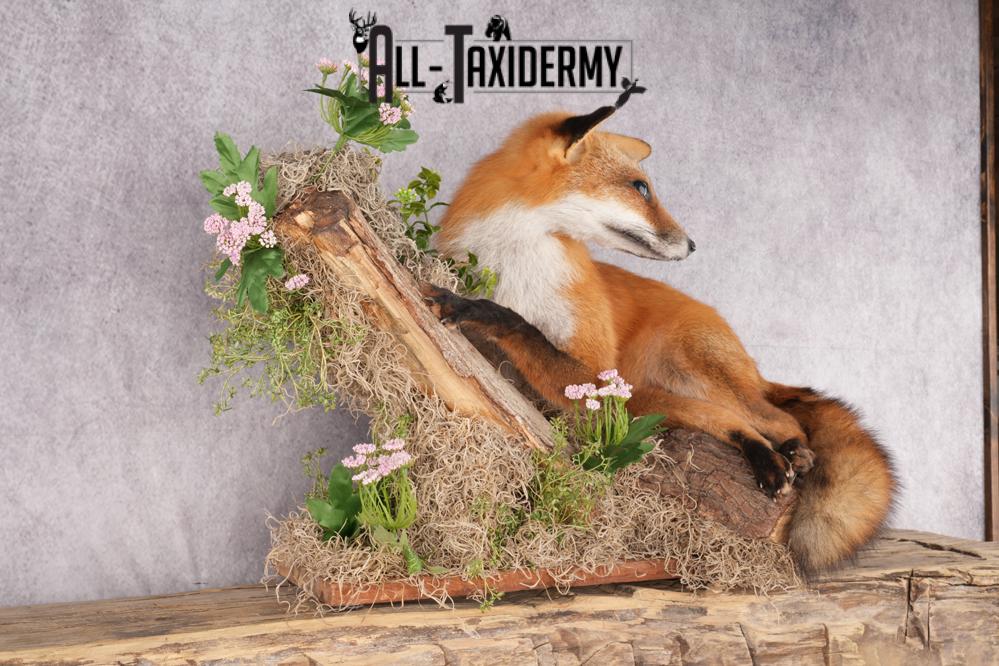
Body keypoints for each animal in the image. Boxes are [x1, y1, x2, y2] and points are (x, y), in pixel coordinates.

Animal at [421, 83, 896, 572]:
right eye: (641, 187)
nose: (693, 244)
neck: (516, 264)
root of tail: (751, 364)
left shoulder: (595, 374)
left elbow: (520, 324)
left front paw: (472, 308)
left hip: (693, 370)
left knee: (779, 418)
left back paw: (785, 454)